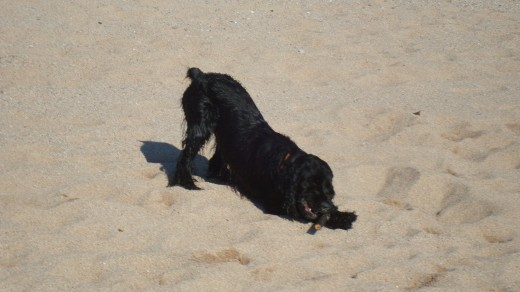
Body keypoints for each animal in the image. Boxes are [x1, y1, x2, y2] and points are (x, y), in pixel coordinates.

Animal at [171, 68, 358, 230]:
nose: (326, 206)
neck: (285, 162)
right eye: (311, 184)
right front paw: (342, 218)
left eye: (327, 186)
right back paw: (188, 182)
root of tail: (201, 76)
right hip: (200, 125)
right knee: (186, 155)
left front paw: (339, 213)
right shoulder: (276, 203)